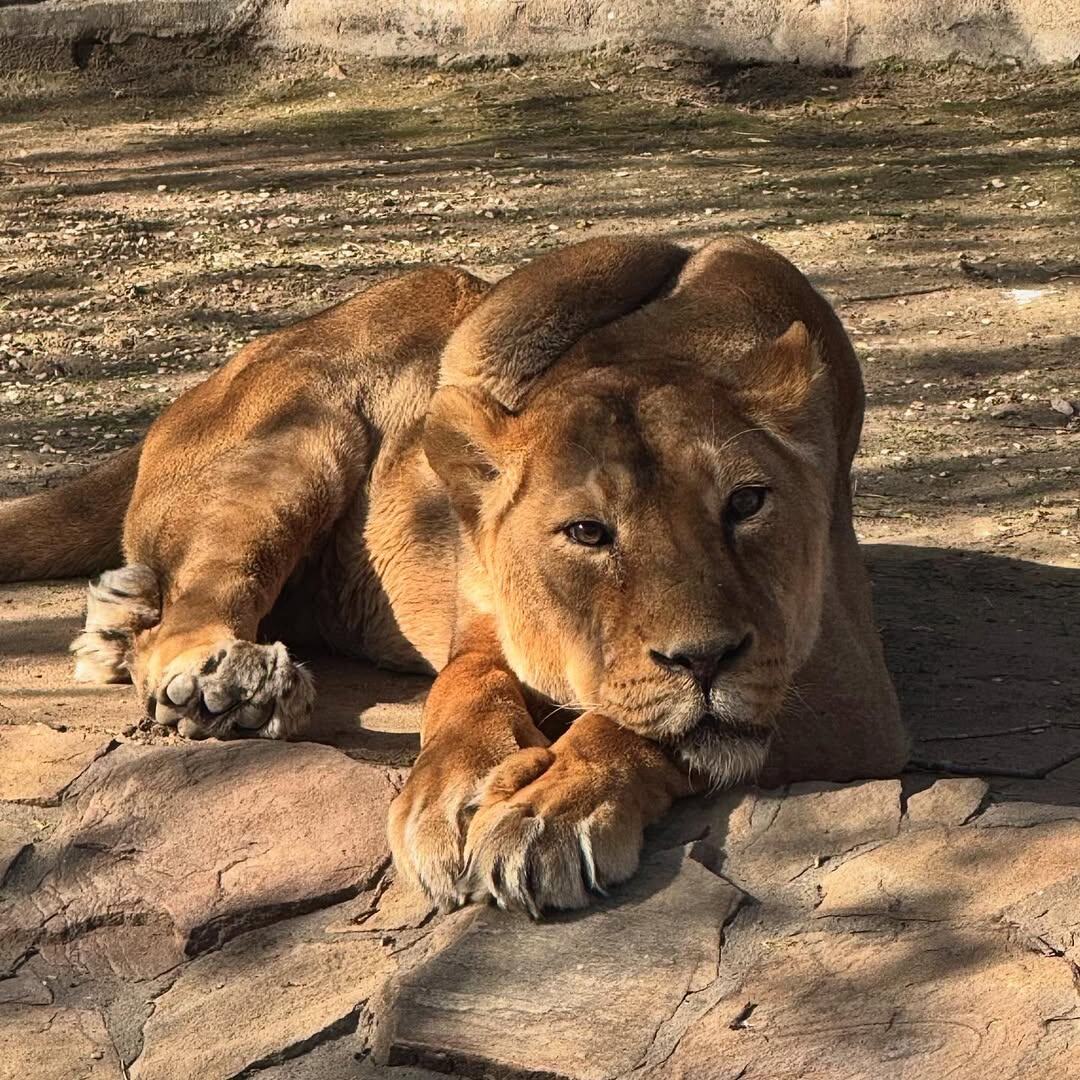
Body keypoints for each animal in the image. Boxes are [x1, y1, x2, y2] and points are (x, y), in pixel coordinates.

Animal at [0, 235, 908, 914]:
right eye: (587, 532)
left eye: (747, 503)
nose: (708, 659)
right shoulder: (481, 616)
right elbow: (466, 689)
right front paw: (455, 794)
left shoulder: (844, 690)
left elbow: (632, 723)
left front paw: (546, 811)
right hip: (308, 433)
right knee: (194, 612)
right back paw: (227, 679)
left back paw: (118, 621)